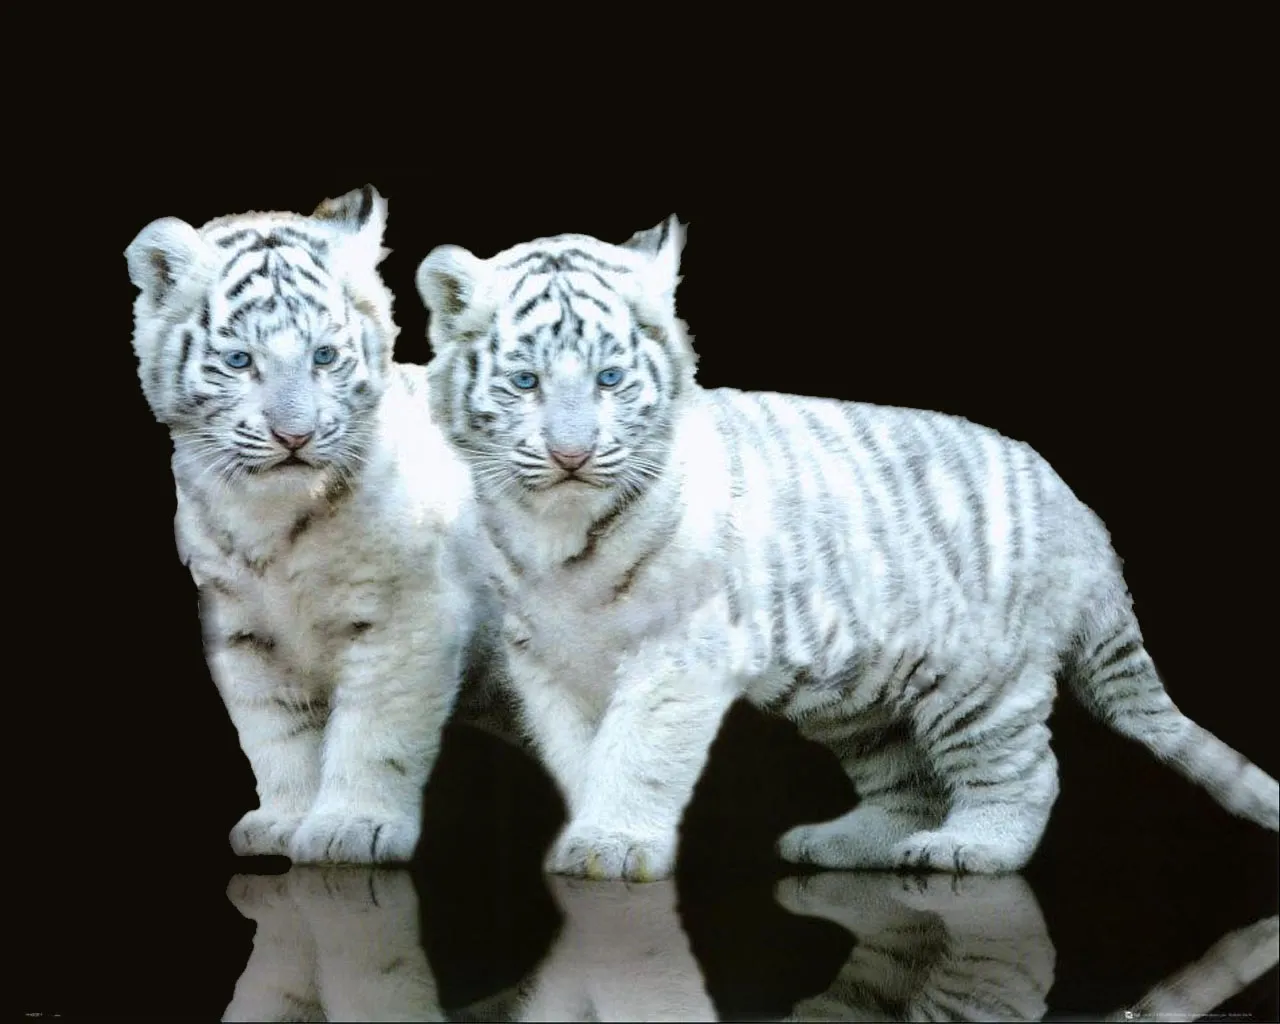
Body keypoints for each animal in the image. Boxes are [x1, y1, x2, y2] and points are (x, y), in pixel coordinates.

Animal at [125, 185, 500, 864]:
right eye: (239, 361)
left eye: (324, 356)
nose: (293, 436)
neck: (269, 521)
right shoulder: (242, 631)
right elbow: (276, 734)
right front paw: (284, 820)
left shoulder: (407, 617)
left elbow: (374, 729)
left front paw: (353, 827)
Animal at [412, 216, 1280, 882]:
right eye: (525, 382)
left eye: (611, 380)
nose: (572, 455)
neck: (557, 528)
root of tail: (1083, 517)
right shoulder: (548, 661)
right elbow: (579, 754)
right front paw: (589, 832)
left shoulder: (677, 654)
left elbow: (639, 752)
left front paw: (615, 844)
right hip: (862, 698)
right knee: (907, 782)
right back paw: (842, 843)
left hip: (983, 678)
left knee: (1024, 772)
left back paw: (970, 848)